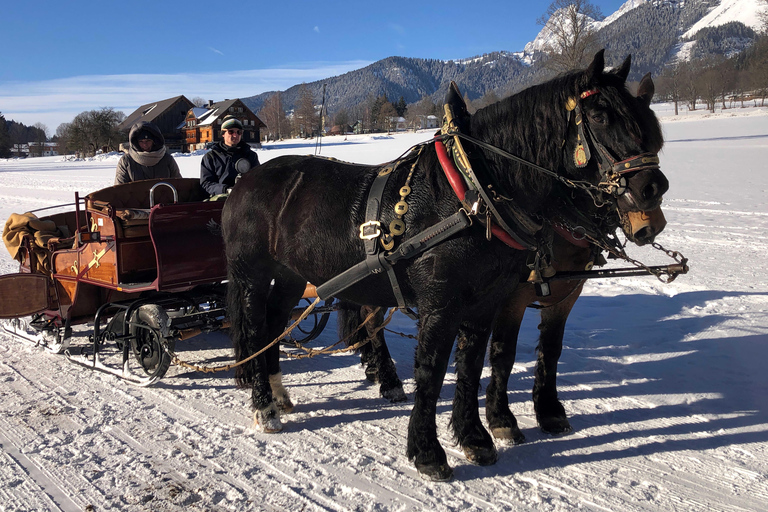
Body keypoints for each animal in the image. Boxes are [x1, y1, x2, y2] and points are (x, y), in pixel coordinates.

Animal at [222, 51, 664, 480]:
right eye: (601, 116)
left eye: (650, 126)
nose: (652, 190)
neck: (470, 194)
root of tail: (247, 181)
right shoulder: (442, 305)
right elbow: (432, 374)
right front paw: (427, 452)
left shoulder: (487, 302)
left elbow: (471, 366)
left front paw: (475, 438)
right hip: (254, 277)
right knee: (258, 328)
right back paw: (264, 405)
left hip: (292, 277)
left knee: (276, 326)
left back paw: (280, 395)